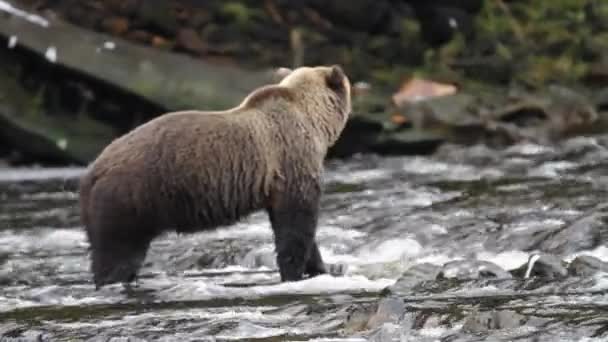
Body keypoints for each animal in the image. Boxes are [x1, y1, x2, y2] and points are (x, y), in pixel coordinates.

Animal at [78, 65, 352, 288]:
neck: (313, 120)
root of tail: (92, 172)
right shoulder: (291, 159)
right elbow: (297, 225)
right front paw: (293, 274)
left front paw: (321, 268)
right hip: (130, 199)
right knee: (119, 253)